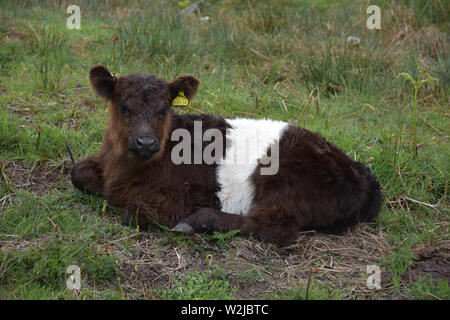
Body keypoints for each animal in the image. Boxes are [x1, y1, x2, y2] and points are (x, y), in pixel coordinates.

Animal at [68, 63, 382, 246]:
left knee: (275, 228)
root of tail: (359, 171)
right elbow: (76, 173)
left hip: (286, 183)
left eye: (164, 108)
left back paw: (197, 222)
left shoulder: (182, 196)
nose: (145, 142)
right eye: (123, 106)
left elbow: (133, 213)